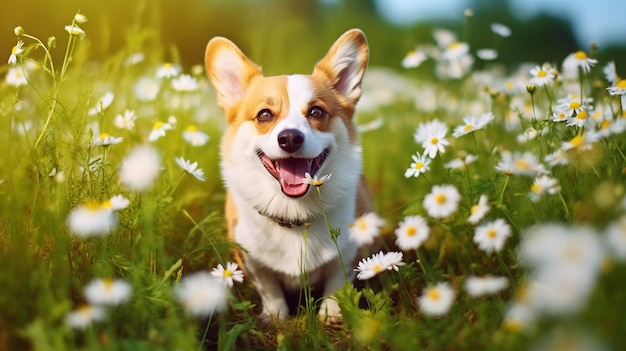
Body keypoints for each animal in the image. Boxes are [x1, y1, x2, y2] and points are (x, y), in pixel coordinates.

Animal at [205, 28, 370, 324]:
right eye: (264, 114)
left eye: (316, 111)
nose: (290, 138)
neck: (293, 213)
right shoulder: (252, 261)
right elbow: (269, 288)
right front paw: (276, 316)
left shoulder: (350, 252)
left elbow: (337, 282)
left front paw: (331, 314)